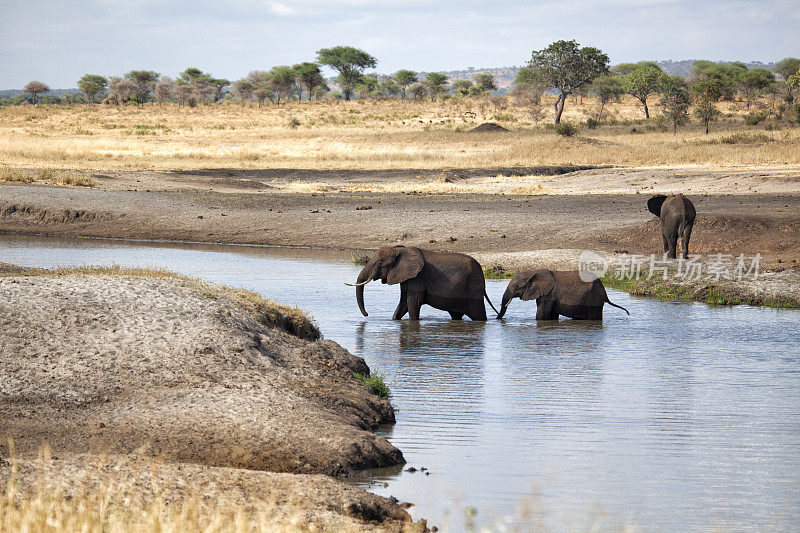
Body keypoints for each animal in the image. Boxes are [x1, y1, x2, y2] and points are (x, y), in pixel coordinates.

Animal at [346, 245, 496, 320]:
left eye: (379, 264)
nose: (366, 315)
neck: (401, 250)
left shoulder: (418, 278)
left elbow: (412, 303)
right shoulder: (407, 278)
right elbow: (403, 304)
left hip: (473, 290)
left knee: (479, 315)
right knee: (456, 315)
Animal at [494, 270, 632, 320]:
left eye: (517, 287)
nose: (497, 318)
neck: (533, 271)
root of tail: (605, 293)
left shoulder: (548, 295)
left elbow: (542, 315)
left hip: (593, 300)